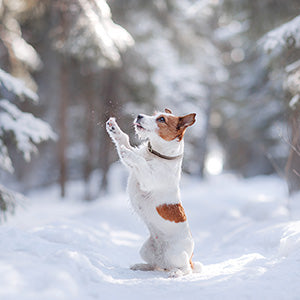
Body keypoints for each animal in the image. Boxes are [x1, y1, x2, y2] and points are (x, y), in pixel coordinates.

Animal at [105, 109, 202, 278]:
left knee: (186, 269)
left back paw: (176, 273)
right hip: (145, 250)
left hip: (175, 254)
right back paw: (140, 266)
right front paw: (114, 128)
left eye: (161, 119)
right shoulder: (132, 167)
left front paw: (127, 152)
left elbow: (140, 161)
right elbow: (124, 140)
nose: (139, 116)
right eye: (154, 113)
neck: (156, 154)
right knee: (155, 265)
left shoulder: (148, 180)